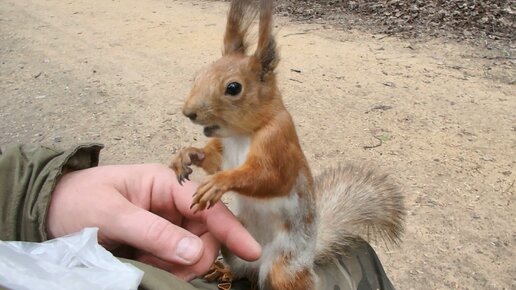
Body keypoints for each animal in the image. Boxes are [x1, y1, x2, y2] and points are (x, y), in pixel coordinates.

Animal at [171, 0, 406, 288]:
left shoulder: (279, 143)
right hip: (235, 247)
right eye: (199, 74)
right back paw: (224, 271)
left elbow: (270, 178)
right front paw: (187, 155)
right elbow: (213, 159)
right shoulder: (224, 150)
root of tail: (308, 257)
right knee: (243, 271)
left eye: (234, 88)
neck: (242, 134)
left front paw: (219, 183)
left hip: (284, 267)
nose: (189, 112)